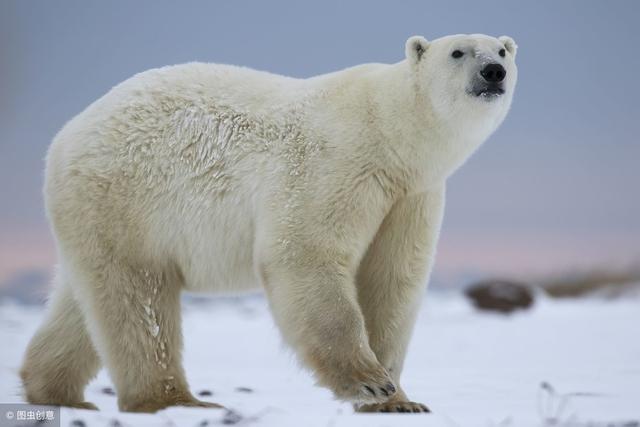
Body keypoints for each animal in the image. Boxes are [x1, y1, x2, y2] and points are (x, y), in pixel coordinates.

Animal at [21, 33, 516, 414]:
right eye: (458, 52)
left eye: (502, 49)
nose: (494, 72)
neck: (390, 133)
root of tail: (65, 137)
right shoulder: (337, 164)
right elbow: (306, 254)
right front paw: (369, 382)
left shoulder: (410, 196)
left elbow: (393, 279)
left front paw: (399, 400)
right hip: (127, 199)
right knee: (140, 297)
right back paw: (175, 400)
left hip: (97, 214)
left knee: (85, 299)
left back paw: (54, 390)